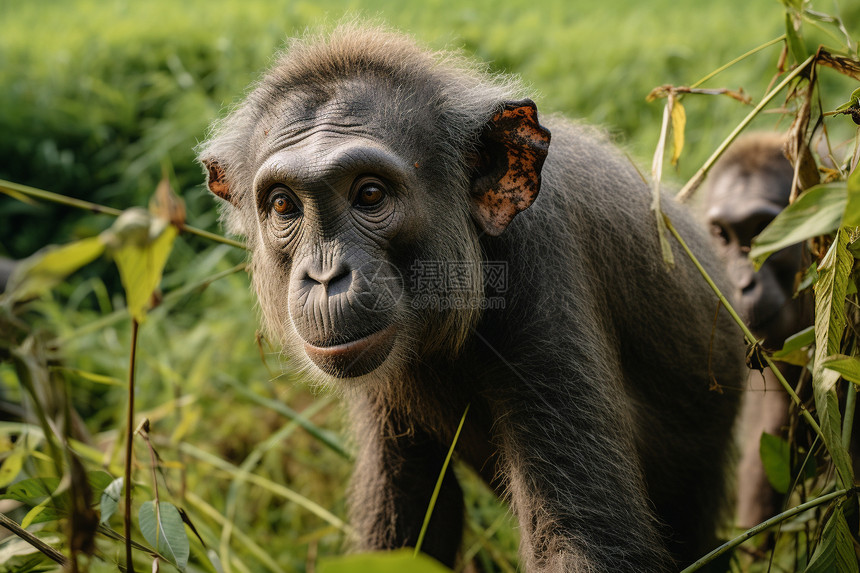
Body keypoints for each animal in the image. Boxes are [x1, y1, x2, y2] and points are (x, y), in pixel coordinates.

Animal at [197, 26, 744, 572]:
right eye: (283, 205)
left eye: (370, 195)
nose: (327, 275)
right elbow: (408, 518)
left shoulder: (541, 274)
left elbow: (580, 539)